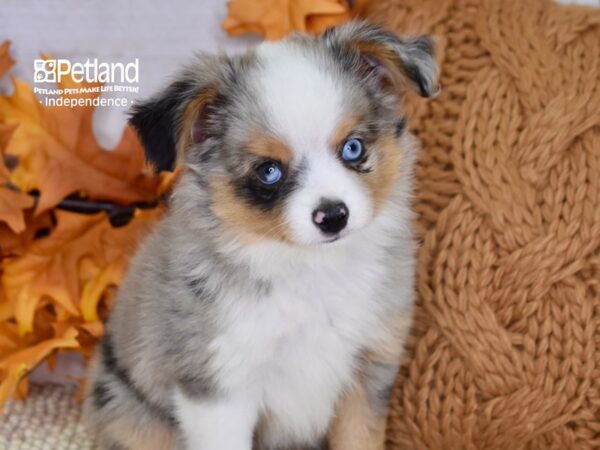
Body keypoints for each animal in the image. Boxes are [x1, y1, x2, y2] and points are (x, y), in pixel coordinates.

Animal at [83, 21, 436, 450]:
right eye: (269, 171)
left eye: (353, 148)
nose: (334, 216)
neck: (308, 270)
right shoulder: (220, 388)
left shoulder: (369, 369)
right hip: (136, 419)